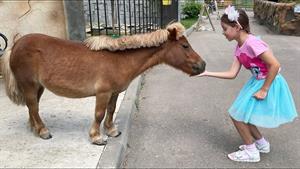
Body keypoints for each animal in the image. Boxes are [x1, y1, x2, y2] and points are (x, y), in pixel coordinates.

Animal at [1, 21, 205, 145]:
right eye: (185, 46)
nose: (202, 65)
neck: (119, 60)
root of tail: (16, 44)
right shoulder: (103, 93)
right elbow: (99, 114)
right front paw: (97, 137)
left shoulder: (114, 93)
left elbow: (111, 110)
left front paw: (112, 131)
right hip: (29, 85)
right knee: (33, 106)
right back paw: (43, 131)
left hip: (38, 87)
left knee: (31, 107)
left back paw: (34, 128)